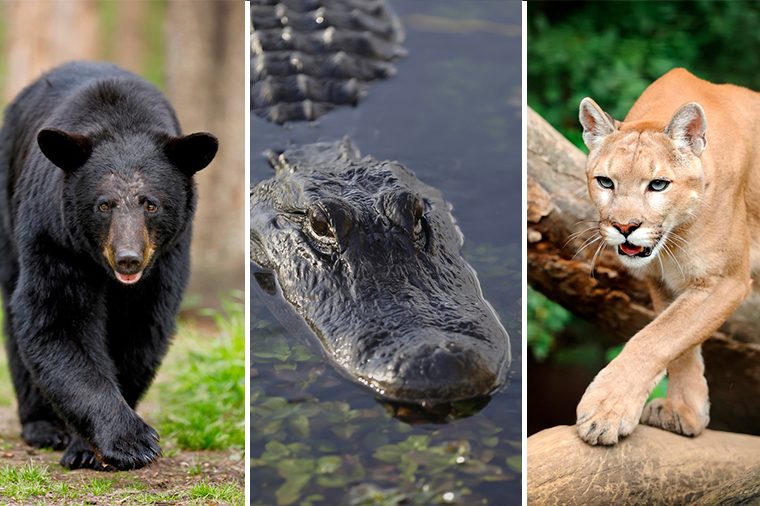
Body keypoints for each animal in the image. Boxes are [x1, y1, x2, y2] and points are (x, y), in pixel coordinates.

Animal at [0, 61, 218, 470]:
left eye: (151, 203)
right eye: (104, 205)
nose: (128, 258)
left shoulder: (166, 256)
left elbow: (139, 330)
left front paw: (91, 446)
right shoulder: (53, 235)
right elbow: (57, 318)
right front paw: (130, 442)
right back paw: (43, 426)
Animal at [575, 68, 760, 445]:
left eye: (658, 185)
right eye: (605, 182)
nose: (624, 226)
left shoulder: (726, 280)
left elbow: (654, 340)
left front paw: (605, 411)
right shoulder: (664, 282)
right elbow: (678, 345)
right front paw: (684, 411)